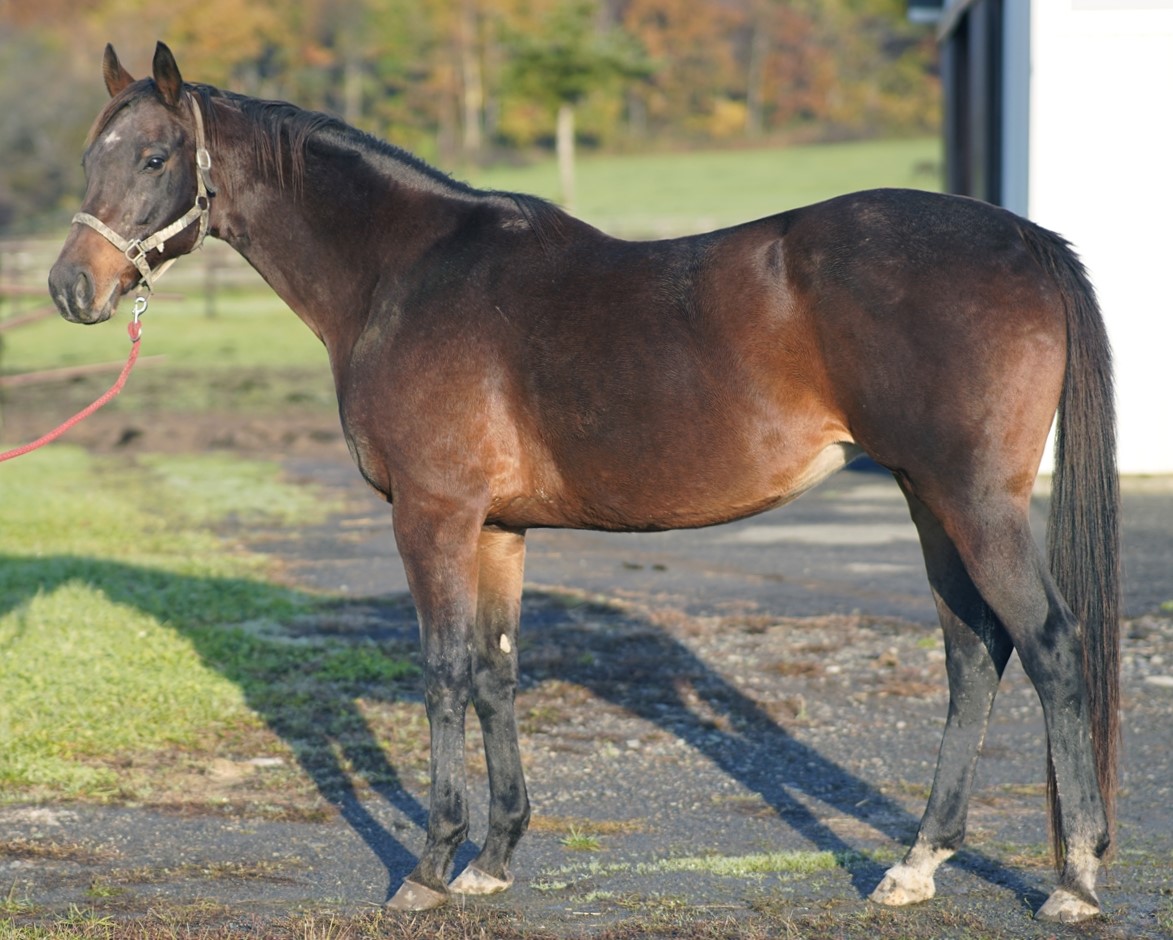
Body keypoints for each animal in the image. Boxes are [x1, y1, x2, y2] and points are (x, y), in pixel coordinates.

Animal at [49, 43, 1120, 923]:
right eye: (91, 157)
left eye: (155, 158)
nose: (71, 289)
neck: (403, 275)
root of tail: (1025, 238)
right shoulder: (496, 528)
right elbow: (495, 672)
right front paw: (492, 860)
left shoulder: (434, 517)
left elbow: (442, 672)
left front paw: (428, 869)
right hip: (923, 495)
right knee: (973, 653)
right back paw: (916, 865)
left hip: (971, 500)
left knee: (1048, 645)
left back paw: (1072, 882)